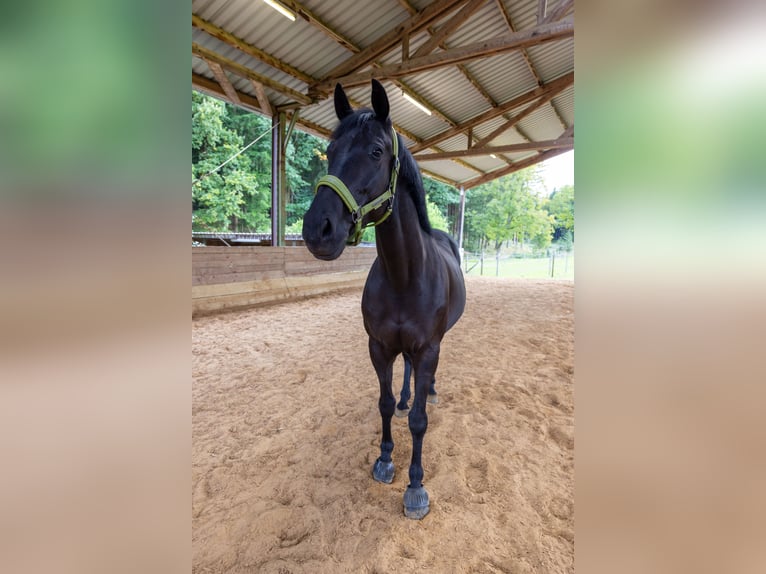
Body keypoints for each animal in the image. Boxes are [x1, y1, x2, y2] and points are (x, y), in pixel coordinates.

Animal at [302, 79, 466, 519]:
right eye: (330, 149)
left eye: (376, 151)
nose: (317, 230)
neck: (404, 275)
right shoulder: (378, 347)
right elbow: (386, 403)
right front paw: (386, 459)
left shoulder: (428, 349)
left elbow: (420, 422)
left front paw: (415, 485)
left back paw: (429, 392)